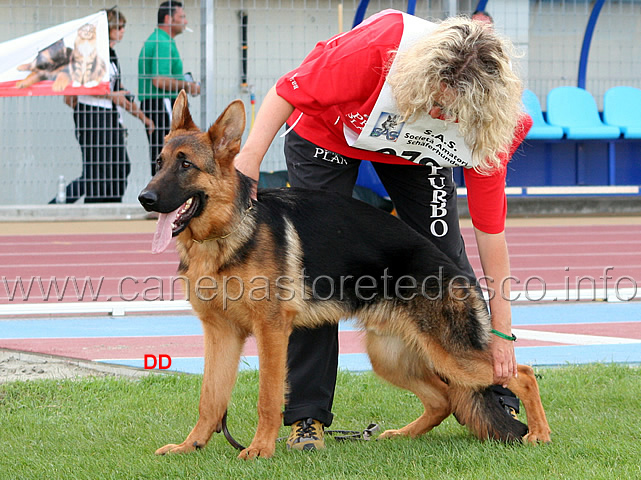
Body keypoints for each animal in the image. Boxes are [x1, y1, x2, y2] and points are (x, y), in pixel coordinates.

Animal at [140, 92, 552, 460]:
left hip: (452, 355)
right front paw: (191, 445)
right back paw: (400, 435)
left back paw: (540, 434)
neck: (224, 234)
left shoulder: (271, 332)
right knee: (444, 399)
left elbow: (268, 397)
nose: (145, 198)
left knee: (522, 373)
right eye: (159, 162)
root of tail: (454, 271)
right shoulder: (221, 333)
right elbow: (210, 399)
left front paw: (260, 449)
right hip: (388, 356)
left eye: (186, 166)